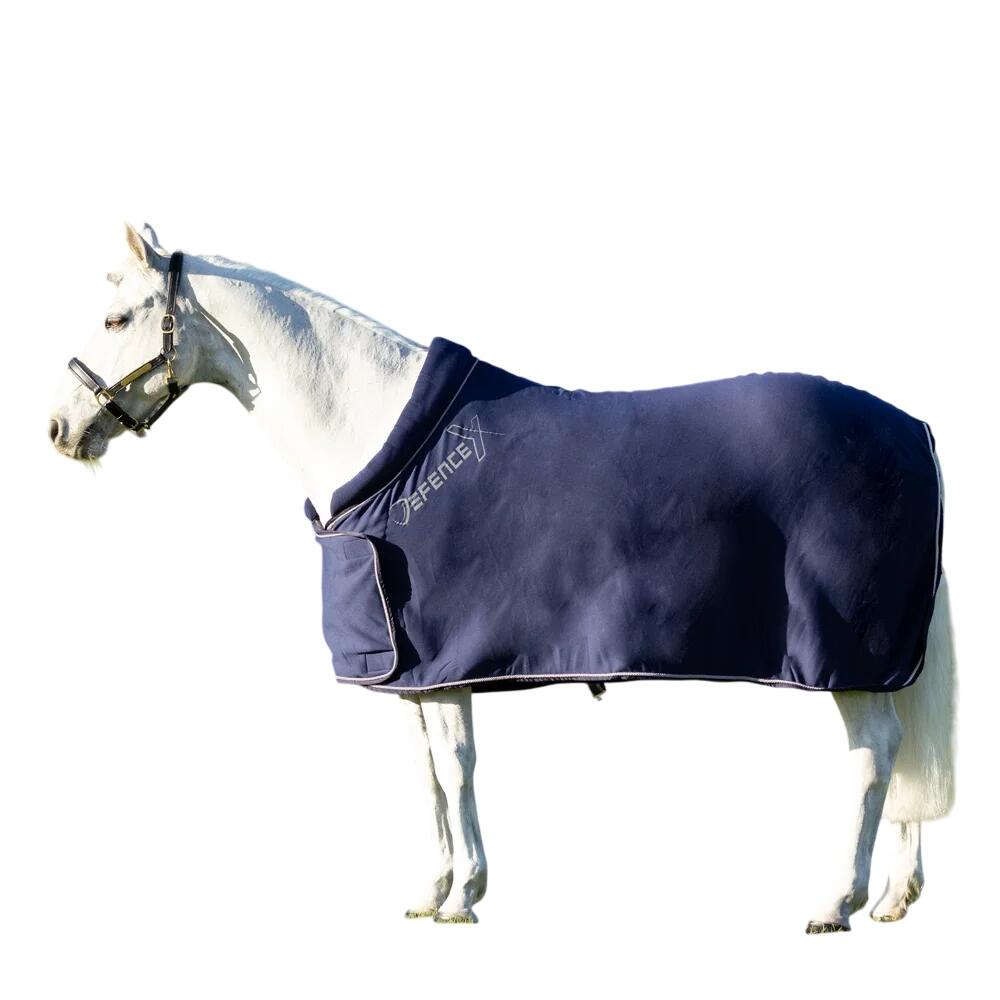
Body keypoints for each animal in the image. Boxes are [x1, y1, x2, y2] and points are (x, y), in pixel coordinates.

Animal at [49, 223, 955, 931]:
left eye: (117, 316)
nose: (59, 426)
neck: (375, 430)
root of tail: (915, 431)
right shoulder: (411, 675)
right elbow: (426, 776)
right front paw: (431, 890)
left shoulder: (444, 667)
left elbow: (456, 768)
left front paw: (464, 897)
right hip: (880, 664)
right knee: (905, 760)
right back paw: (893, 898)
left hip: (847, 655)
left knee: (874, 758)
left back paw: (835, 902)